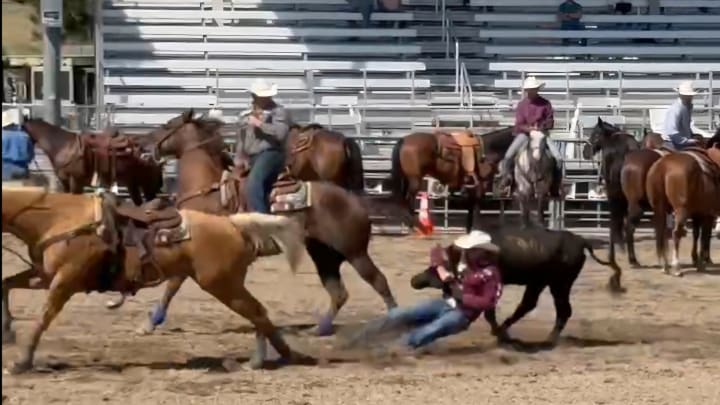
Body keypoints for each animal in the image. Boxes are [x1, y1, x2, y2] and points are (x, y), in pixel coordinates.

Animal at [2, 184, 312, 372]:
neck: (57, 219)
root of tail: (232, 223)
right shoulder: (44, 275)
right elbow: (6, 284)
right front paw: (7, 331)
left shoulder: (65, 281)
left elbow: (43, 317)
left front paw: (22, 361)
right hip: (227, 284)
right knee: (257, 313)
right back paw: (263, 359)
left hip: (223, 285)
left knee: (257, 312)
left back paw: (279, 357)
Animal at [136, 109, 402, 336]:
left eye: (167, 125)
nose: (142, 144)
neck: (206, 190)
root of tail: (353, 200)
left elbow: (172, 286)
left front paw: (150, 323)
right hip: (323, 254)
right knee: (339, 292)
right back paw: (320, 329)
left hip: (355, 252)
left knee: (378, 281)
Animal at [648, 144, 720, 276]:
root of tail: (663, 165)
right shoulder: (707, 214)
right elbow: (704, 237)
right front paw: (702, 262)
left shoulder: (698, 214)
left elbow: (697, 235)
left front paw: (696, 260)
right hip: (681, 210)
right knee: (676, 233)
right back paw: (677, 267)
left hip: (659, 208)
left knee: (661, 233)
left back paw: (665, 266)